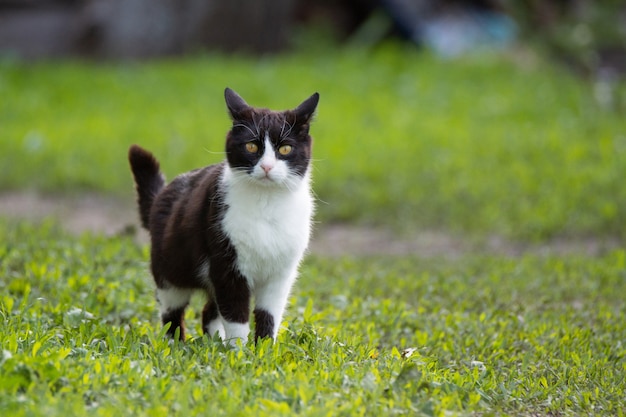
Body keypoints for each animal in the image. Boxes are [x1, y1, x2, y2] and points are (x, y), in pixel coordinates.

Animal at [129, 88, 320, 344]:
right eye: (251, 147)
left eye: (285, 149)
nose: (267, 167)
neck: (267, 202)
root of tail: (161, 195)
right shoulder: (227, 264)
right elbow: (236, 315)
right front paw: (239, 351)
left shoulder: (280, 275)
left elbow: (269, 315)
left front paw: (264, 348)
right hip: (171, 267)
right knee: (172, 311)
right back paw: (174, 344)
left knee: (209, 310)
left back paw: (214, 342)